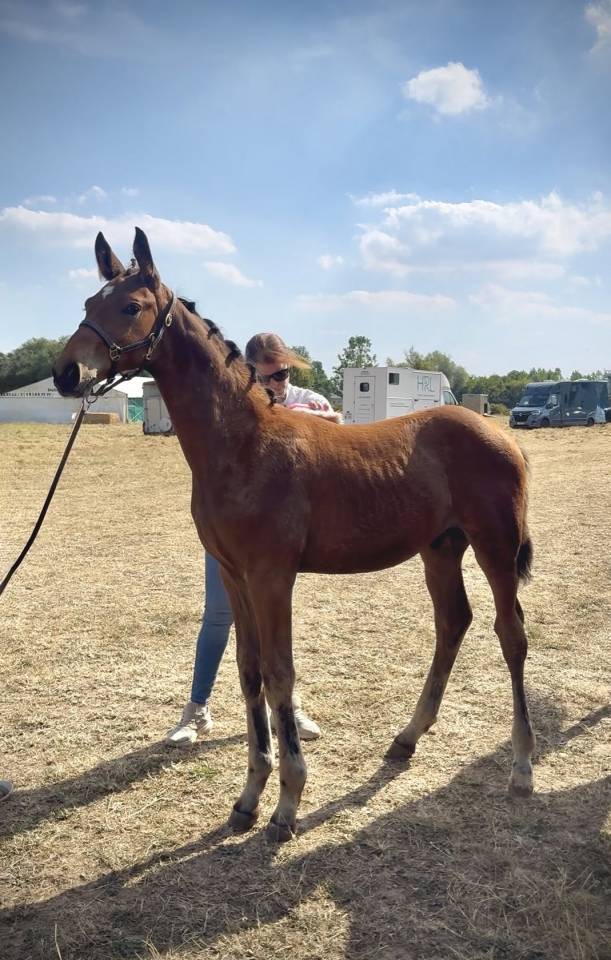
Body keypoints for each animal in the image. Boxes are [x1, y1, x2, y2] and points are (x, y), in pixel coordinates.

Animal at [53, 228, 536, 841]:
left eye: (131, 307)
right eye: (88, 303)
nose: (67, 373)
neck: (242, 445)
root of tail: (499, 433)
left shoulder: (272, 577)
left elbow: (280, 674)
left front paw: (286, 804)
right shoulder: (234, 576)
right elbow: (248, 671)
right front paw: (248, 797)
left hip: (496, 545)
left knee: (510, 633)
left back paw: (521, 766)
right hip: (440, 549)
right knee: (454, 622)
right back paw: (406, 738)